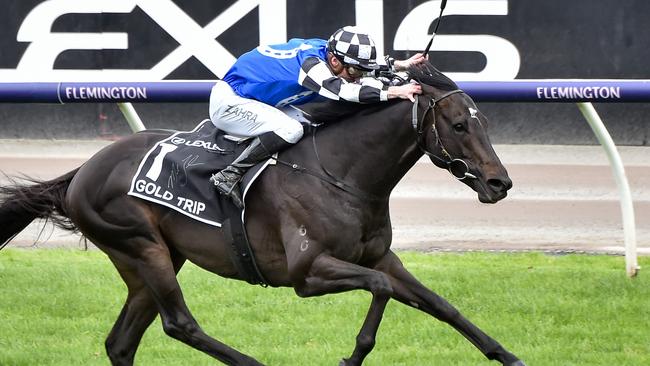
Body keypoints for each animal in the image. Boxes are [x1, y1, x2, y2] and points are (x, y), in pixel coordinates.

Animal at [0, 64, 520, 364]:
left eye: (484, 122)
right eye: (459, 125)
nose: (500, 184)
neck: (341, 174)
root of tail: (84, 170)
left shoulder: (378, 256)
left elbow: (439, 304)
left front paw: (508, 355)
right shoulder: (307, 273)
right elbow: (381, 289)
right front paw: (352, 358)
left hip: (148, 260)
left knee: (121, 342)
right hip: (142, 247)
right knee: (180, 323)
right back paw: (252, 363)